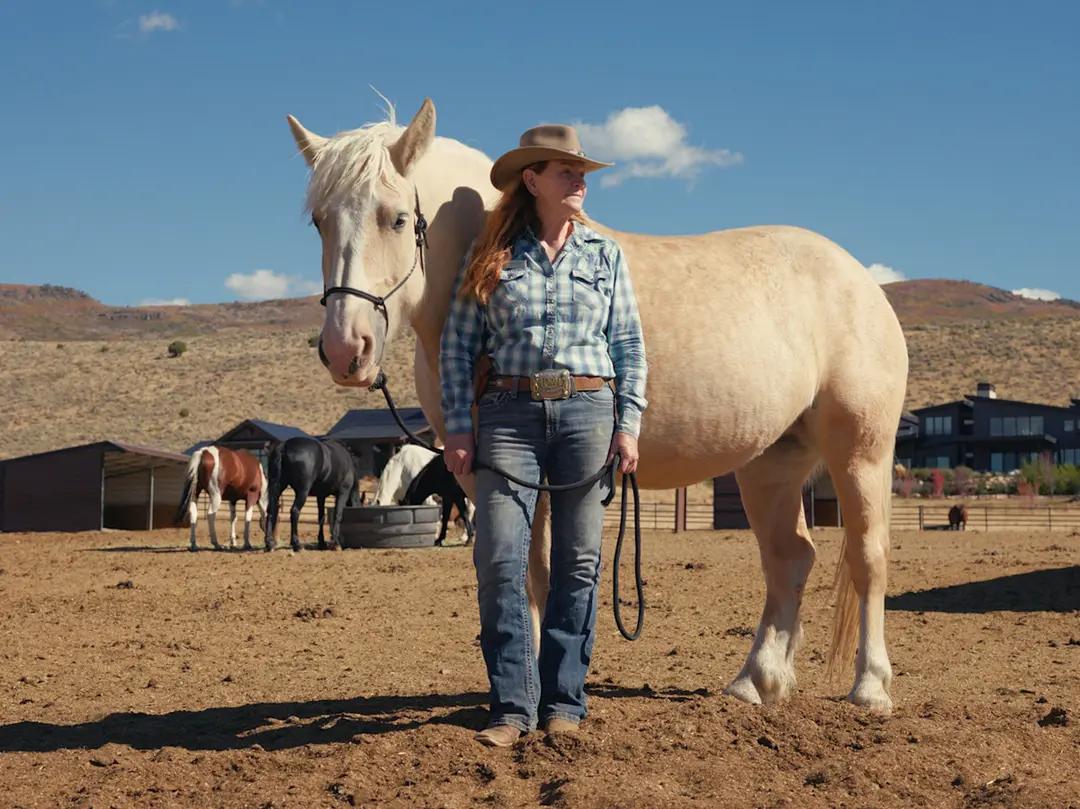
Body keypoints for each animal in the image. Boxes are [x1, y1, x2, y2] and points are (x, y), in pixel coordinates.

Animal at [286, 98, 908, 712]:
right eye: (319, 222)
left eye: (395, 217)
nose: (345, 349)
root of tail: (860, 280)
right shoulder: (489, 469)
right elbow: (523, 570)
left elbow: (544, 570)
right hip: (770, 463)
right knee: (790, 559)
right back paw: (755, 682)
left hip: (861, 452)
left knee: (867, 558)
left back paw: (870, 688)